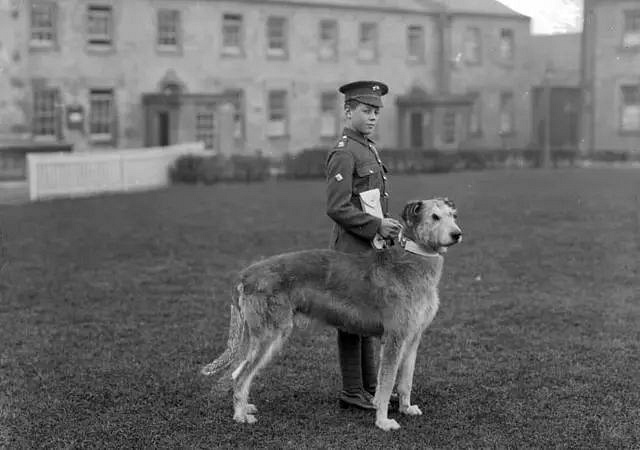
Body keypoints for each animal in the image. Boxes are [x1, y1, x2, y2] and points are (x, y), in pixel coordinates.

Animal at [202, 199, 462, 430]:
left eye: (453, 215)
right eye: (434, 217)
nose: (457, 234)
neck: (411, 259)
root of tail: (245, 275)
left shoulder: (413, 337)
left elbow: (406, 380)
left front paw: (407, 408)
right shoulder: (394, 338)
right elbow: (387, 383)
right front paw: (383, 421)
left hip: (258, 335)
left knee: (237, 371)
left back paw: (244, 407)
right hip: (270, 334)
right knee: (241, 376)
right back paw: (240, 416)